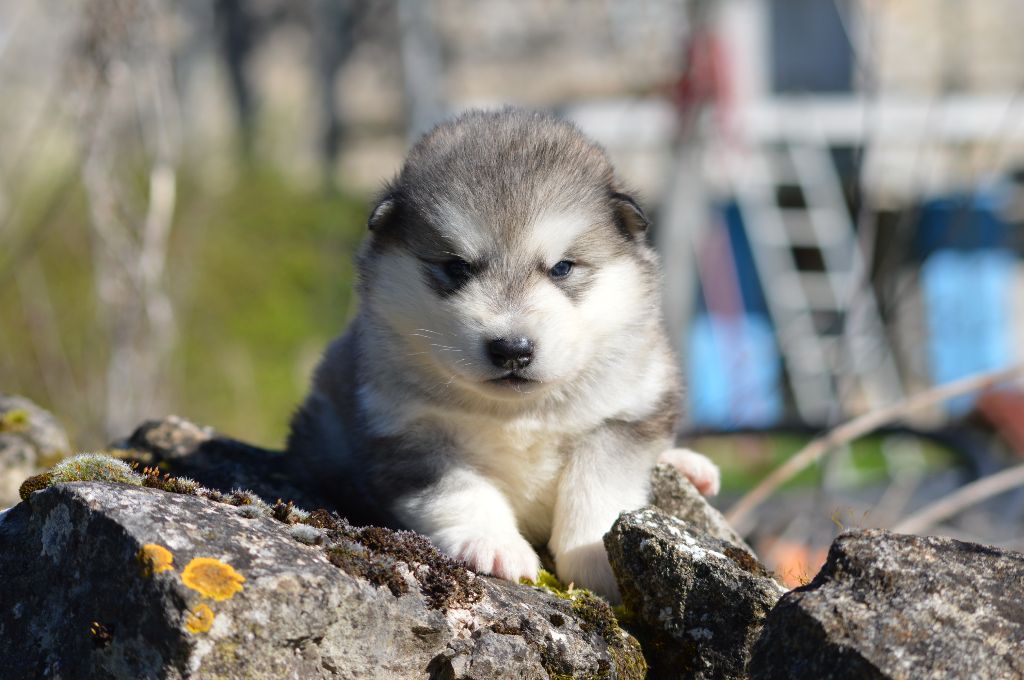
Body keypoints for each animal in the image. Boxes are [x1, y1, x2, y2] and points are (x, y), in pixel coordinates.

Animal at [288, 107, 716, 602]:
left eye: (562, 268)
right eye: (456, 267)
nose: (512, 349)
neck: (518, 413)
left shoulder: (629, 413)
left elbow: (597, 485)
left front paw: (594, 557)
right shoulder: (405, 433)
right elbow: (460, 489)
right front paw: (492, 544)